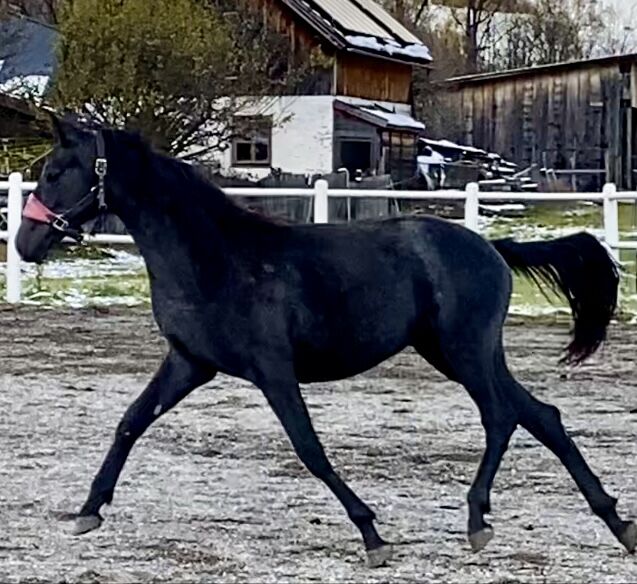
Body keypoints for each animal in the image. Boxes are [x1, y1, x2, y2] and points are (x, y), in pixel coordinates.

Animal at [14, 118, 632, 564]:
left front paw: (372, 537)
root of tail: (491, 248)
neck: (214, 259)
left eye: (58, 171)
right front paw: (88, 510)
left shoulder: (272, 371)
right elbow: (130, 422)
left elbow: (309, 449)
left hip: (465, 353)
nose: (25, 242)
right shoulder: (188, 363)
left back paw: (479, 520)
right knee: (542, 415)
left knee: (503, 416)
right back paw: (616, 521)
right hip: (458, 353)